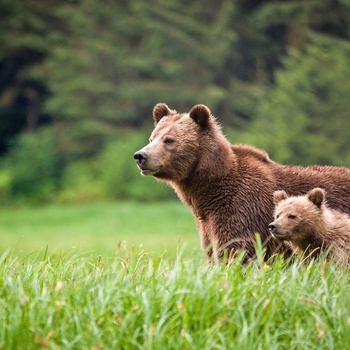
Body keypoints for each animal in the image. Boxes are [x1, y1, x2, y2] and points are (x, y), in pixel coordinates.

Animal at [133, 102, 350, 262]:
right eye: (152, 137)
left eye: (169, 140)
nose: (140, 156)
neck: (206, 192)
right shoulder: (207, 223)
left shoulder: (241, 209)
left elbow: (235, 250)